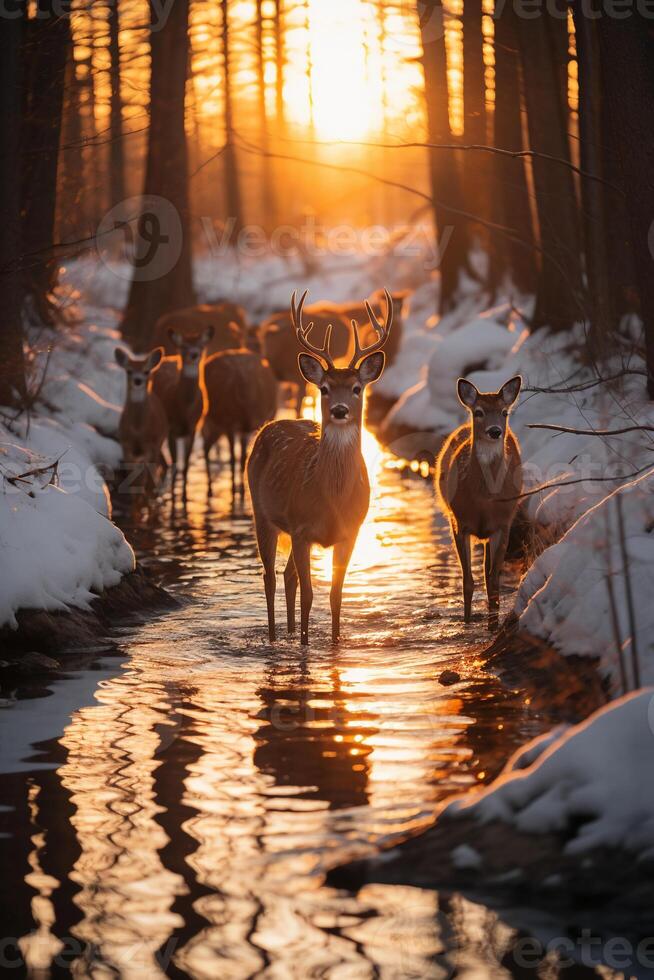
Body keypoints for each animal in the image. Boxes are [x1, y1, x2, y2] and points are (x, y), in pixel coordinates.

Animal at [114, 348, 169, 490]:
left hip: (158, 442)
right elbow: (132, 479)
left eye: (146, 371)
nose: (138, 380)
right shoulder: (126, 446)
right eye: (129, 371)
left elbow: (145, 479)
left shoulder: (150, 446)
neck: (138, 431)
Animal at [152, 328, 214, 494]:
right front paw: (174, 497)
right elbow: (175, 465)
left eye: (201, 345)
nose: (194, 354)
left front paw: (185, 496)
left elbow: (185, 466)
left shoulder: (193, 428)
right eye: (183, 346)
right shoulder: (171, 429)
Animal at [202, 344, 280, 494]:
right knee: (208, 446)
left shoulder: (245, 427)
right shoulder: (232, 424)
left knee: (207, 445)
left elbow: (243, 457)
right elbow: (235, 457)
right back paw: (210, 487)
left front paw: (241, 488)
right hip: (219, 421)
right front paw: (235, 488)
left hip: (218, 424)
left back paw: (211, 486)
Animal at [247, 288, 394, 648]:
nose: (340, 410)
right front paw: (304, 645)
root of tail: (274, 424)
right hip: (261, 511)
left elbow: (336, 595)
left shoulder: (350, 532)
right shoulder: (301, 529)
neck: (331, 503)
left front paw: (335, 642)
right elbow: (310, 594)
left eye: (357, 388)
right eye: (324, 388)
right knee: (270, 576)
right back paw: (275, 637)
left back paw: (287, 632)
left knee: (287, 576)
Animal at [438, 376, 524, 628]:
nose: (495, 431)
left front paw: (493, 625)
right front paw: (467, 623)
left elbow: (493, 583)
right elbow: (468, 582)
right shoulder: (460, 523)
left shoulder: (503, 524)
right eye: (478, 412)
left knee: (489, 576)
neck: (484, 501)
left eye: (504, 412)